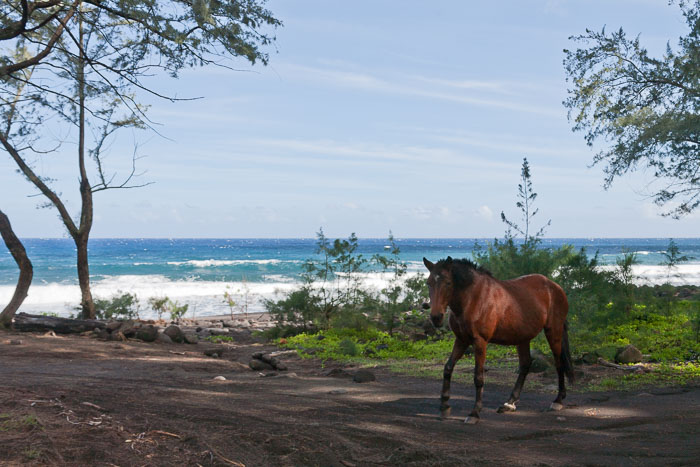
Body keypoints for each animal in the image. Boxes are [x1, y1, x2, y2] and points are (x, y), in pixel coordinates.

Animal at [424, 256, 572, 424]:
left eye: (448, 283)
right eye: (429, 283)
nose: (436, 317)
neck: (472, 298)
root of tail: (554, 287)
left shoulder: (479, 342)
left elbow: (478, 377)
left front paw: (474, 413)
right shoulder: (461, 340)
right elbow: (448, 368)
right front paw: (444, 407)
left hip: (553, 331)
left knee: (559, 363)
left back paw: (558, 400)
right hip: (523, 337)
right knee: (525, 365)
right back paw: (510, 403)